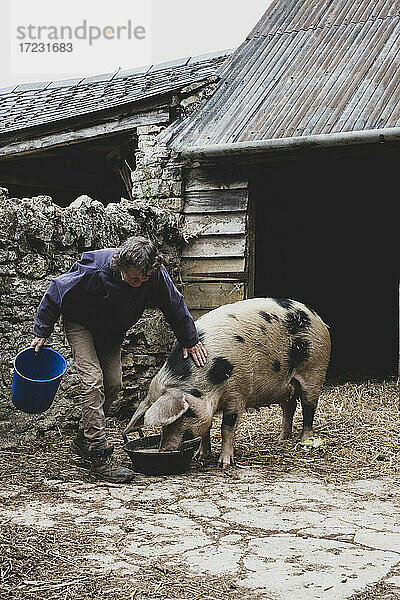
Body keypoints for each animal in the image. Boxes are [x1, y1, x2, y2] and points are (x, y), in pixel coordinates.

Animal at [125, 298, 332, 466]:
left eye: (185, 413)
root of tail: (318, 318)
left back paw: (304, 441)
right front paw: (200, 456)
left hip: (314, 370)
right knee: (289, 407)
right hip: (285, 385)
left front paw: (223, 464)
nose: (165, 450)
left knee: (308, 407)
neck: (210, 378)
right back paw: (280, 440)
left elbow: (227, 427)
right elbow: (206, 428)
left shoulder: (238, 391)